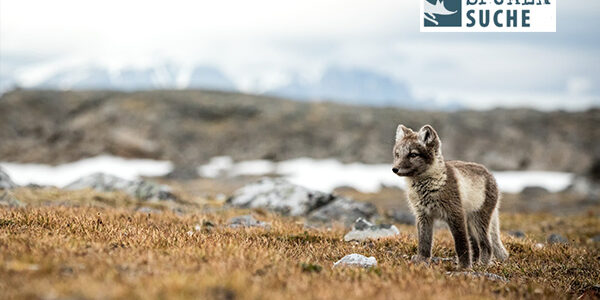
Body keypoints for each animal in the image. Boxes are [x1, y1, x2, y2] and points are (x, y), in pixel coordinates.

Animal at [392, 123, 508, 268]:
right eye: (397, 154)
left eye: (413, 154)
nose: (394, 169)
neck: (427, 188)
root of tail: (490, 174)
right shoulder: (423, 215)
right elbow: (424, 242)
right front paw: (422, 261)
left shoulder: (455, 214)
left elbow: (461, 244)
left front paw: (463, 267)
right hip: (469, 223)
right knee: (476, 245)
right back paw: (475, 262)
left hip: (478, 220)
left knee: (486, 245)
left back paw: (481, 265)